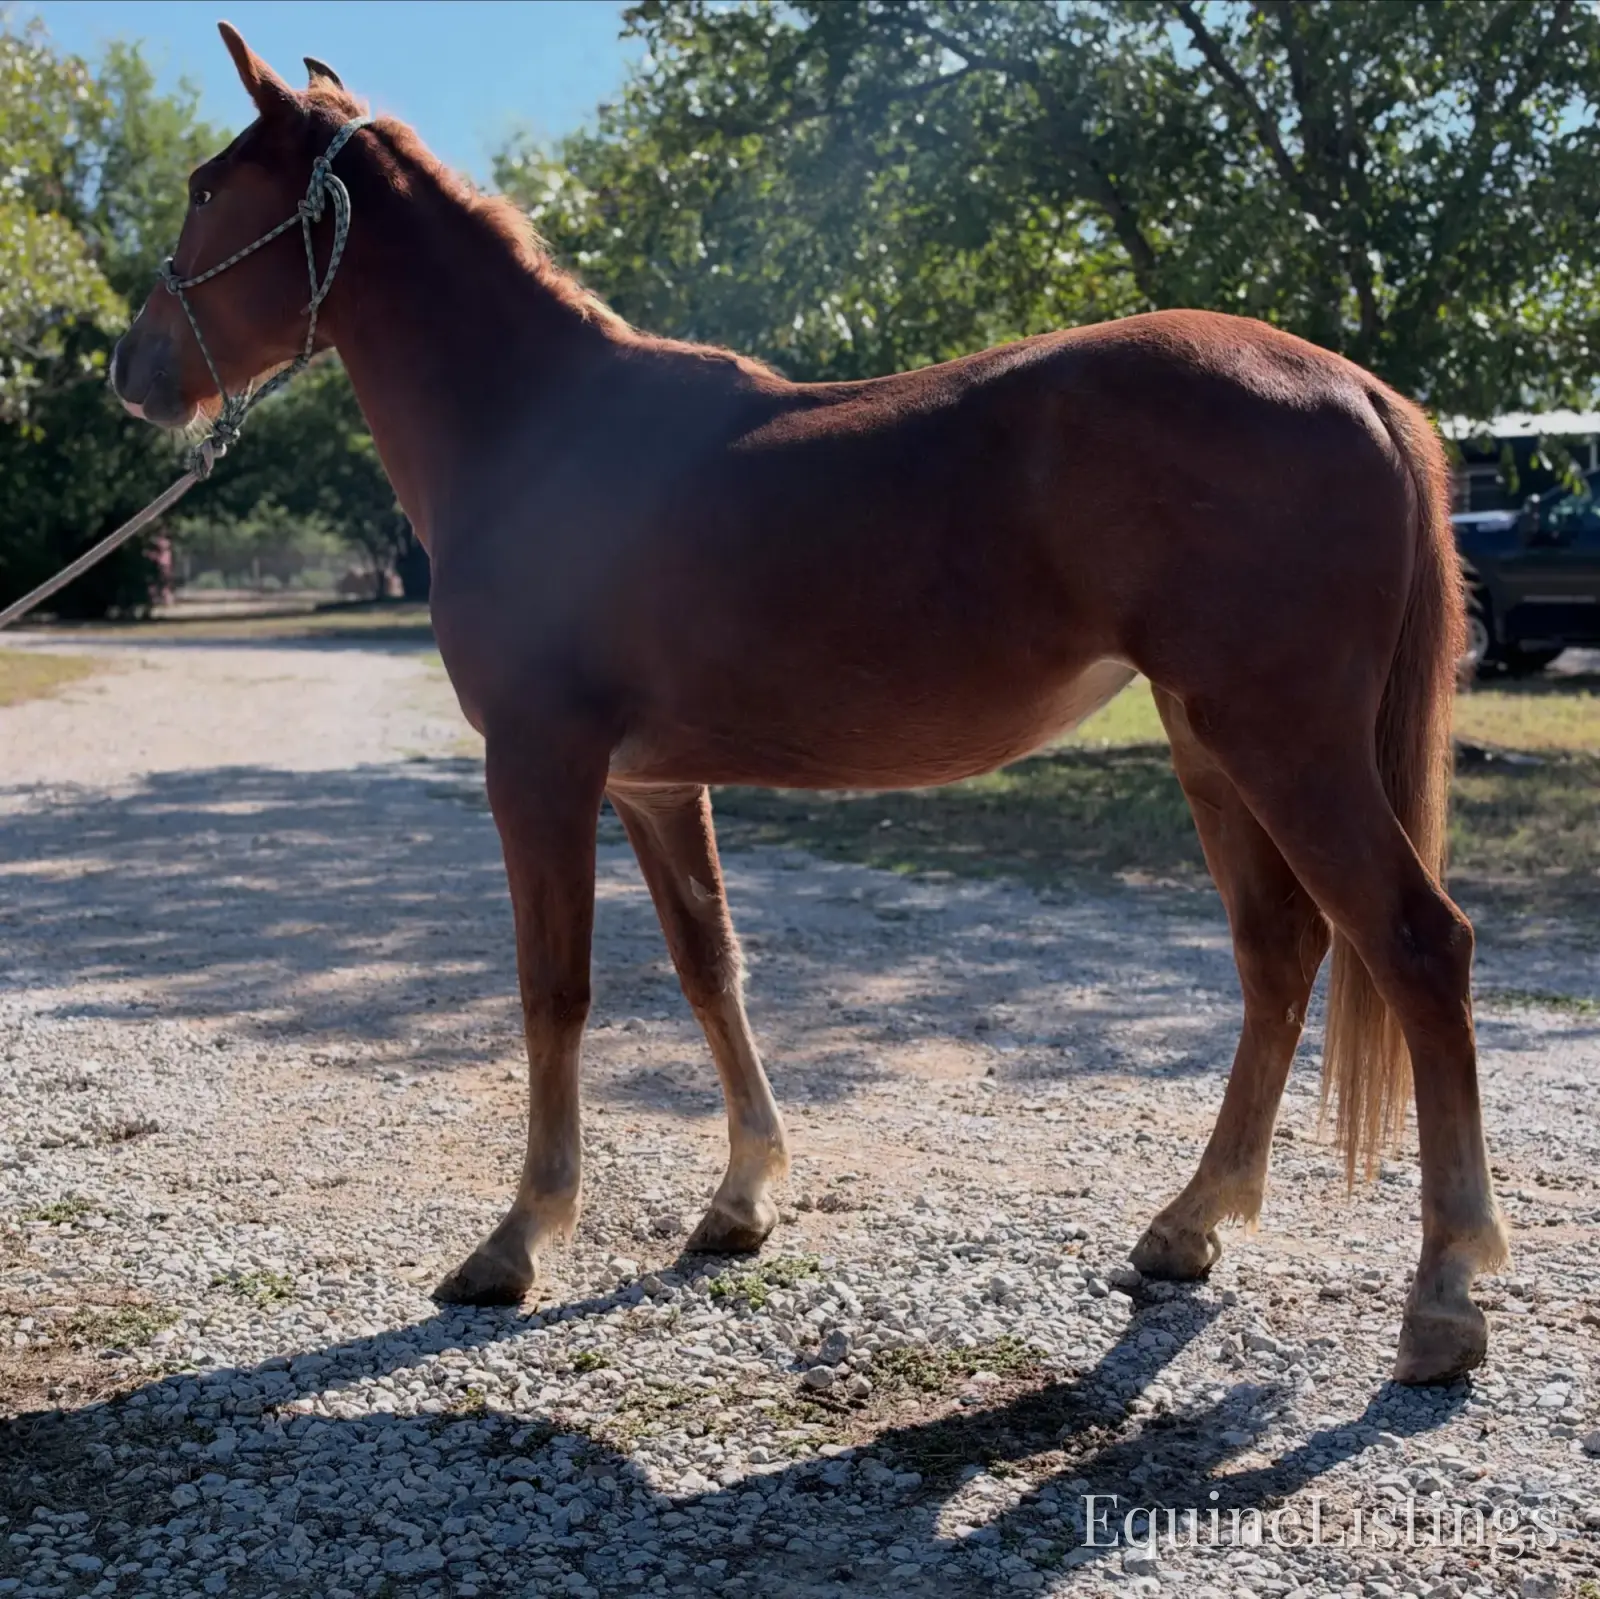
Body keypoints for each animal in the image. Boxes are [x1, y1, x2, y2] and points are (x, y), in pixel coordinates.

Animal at [110, 24, 1508, 1386]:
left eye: (205, 187)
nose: (131, 368)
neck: (544, 432)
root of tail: (1356, 389)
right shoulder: (654, 782)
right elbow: (709, 967)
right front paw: (740, 1202)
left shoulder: (540, 765)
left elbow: (553, 989)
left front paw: (516, 1241)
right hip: (1211, 745)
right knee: (1279, 954)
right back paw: (1188, 1225)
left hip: (1285, 741)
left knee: (1415, 945)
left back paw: (1443, 1301)